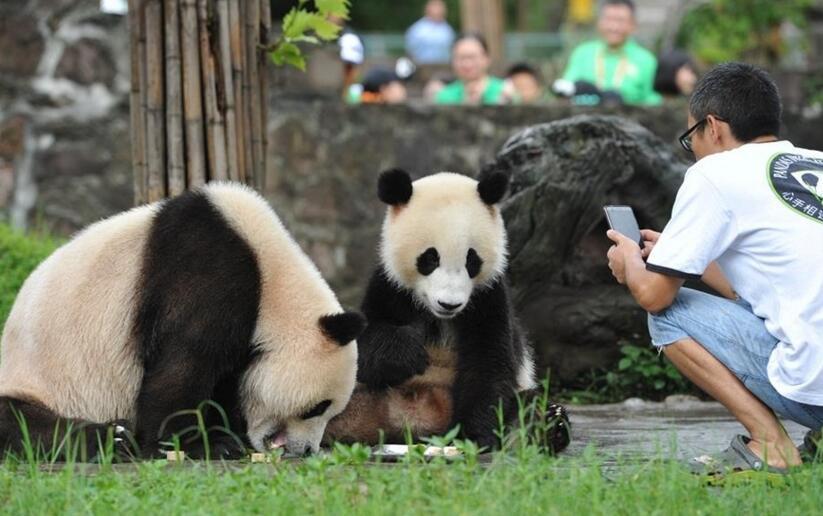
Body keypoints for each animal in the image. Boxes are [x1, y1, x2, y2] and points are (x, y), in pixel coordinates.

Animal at [0, 182, 364, 460]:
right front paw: (202, 443)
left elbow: (226, 382)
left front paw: (224, 434)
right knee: (21, 423)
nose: (306, 450)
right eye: (316, 408)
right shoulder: (208, 275)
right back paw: (113, 438)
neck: (271, 279)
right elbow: (184, 368)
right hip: (39, 380)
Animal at [326, 169, 568, 452]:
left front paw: (475, 436)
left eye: (472, 260)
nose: (449, 304)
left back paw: (551, 425)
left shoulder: (489, 298)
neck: (437, 317)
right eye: (430, 258)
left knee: (527, 404)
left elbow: (488, 364)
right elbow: (364, 346)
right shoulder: (389, 286)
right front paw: (406, 354)